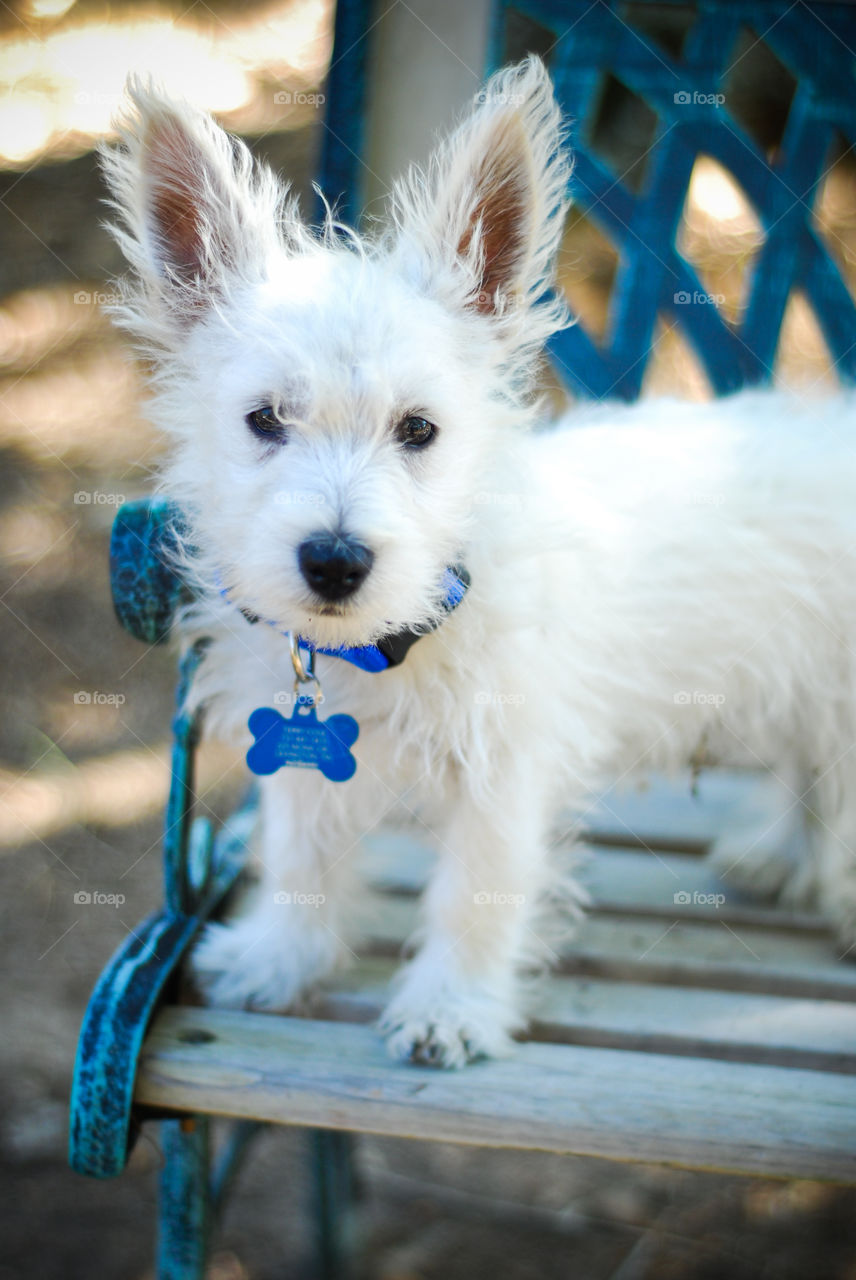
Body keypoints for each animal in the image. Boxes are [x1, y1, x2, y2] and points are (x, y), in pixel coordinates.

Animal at [103, 60, 854, 1064]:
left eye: (419, 430)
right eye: (264, 420)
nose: (334, 561)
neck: (401, 634)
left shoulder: (506, 773)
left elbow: (473, 898)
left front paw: (451, 1007)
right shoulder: (296, 737)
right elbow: (300, 850)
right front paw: (281, 957)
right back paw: (781, 853)